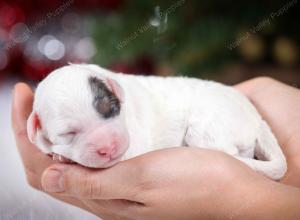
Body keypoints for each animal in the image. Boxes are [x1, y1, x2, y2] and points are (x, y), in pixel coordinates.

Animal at [27, 62, 288, 180]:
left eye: (111, 109)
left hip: (208, 130)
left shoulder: (133, 141)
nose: (108, 148)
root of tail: (257, 118)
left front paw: (64, 157)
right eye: (68, 134)